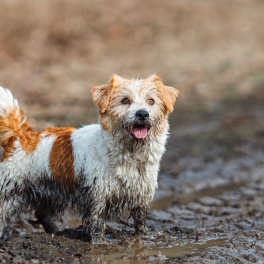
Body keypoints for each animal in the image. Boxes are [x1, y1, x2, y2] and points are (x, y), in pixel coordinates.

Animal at [0, 74, 179, 243]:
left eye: (151, 101)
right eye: (125, 100)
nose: (142, 113)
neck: (130, 154)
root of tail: (20, 136)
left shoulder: (142, 195)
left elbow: (140, 220)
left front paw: (144, 237)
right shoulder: (97, 196)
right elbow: (96, 224)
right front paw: (98, 244)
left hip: (52, 191)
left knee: (42, 214)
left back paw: (56, 233)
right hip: (10, 193)